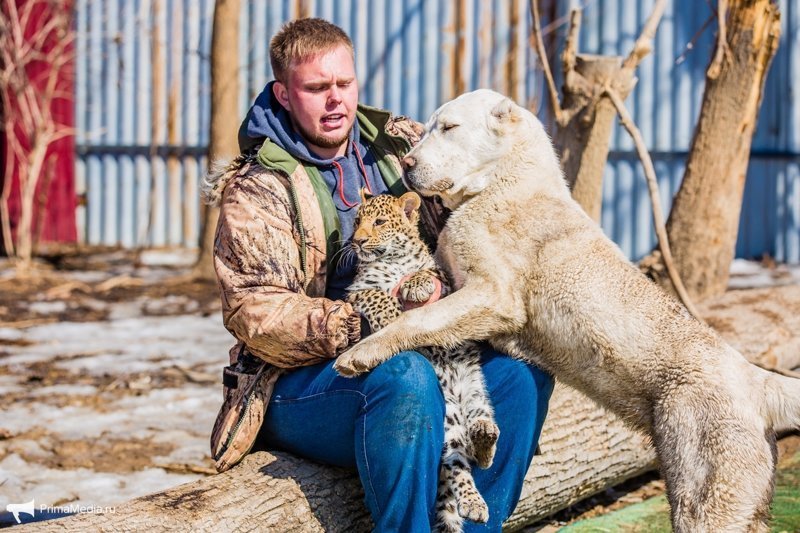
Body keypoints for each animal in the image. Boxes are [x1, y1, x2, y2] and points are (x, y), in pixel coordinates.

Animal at [336, 89, 800, 528]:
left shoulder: (493, 294)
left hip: (702, 495)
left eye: (449, 127)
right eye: (428, 126)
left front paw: (361, 353)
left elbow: (419, 318)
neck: (502, 183)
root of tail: (757, 379)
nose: (407, 162)